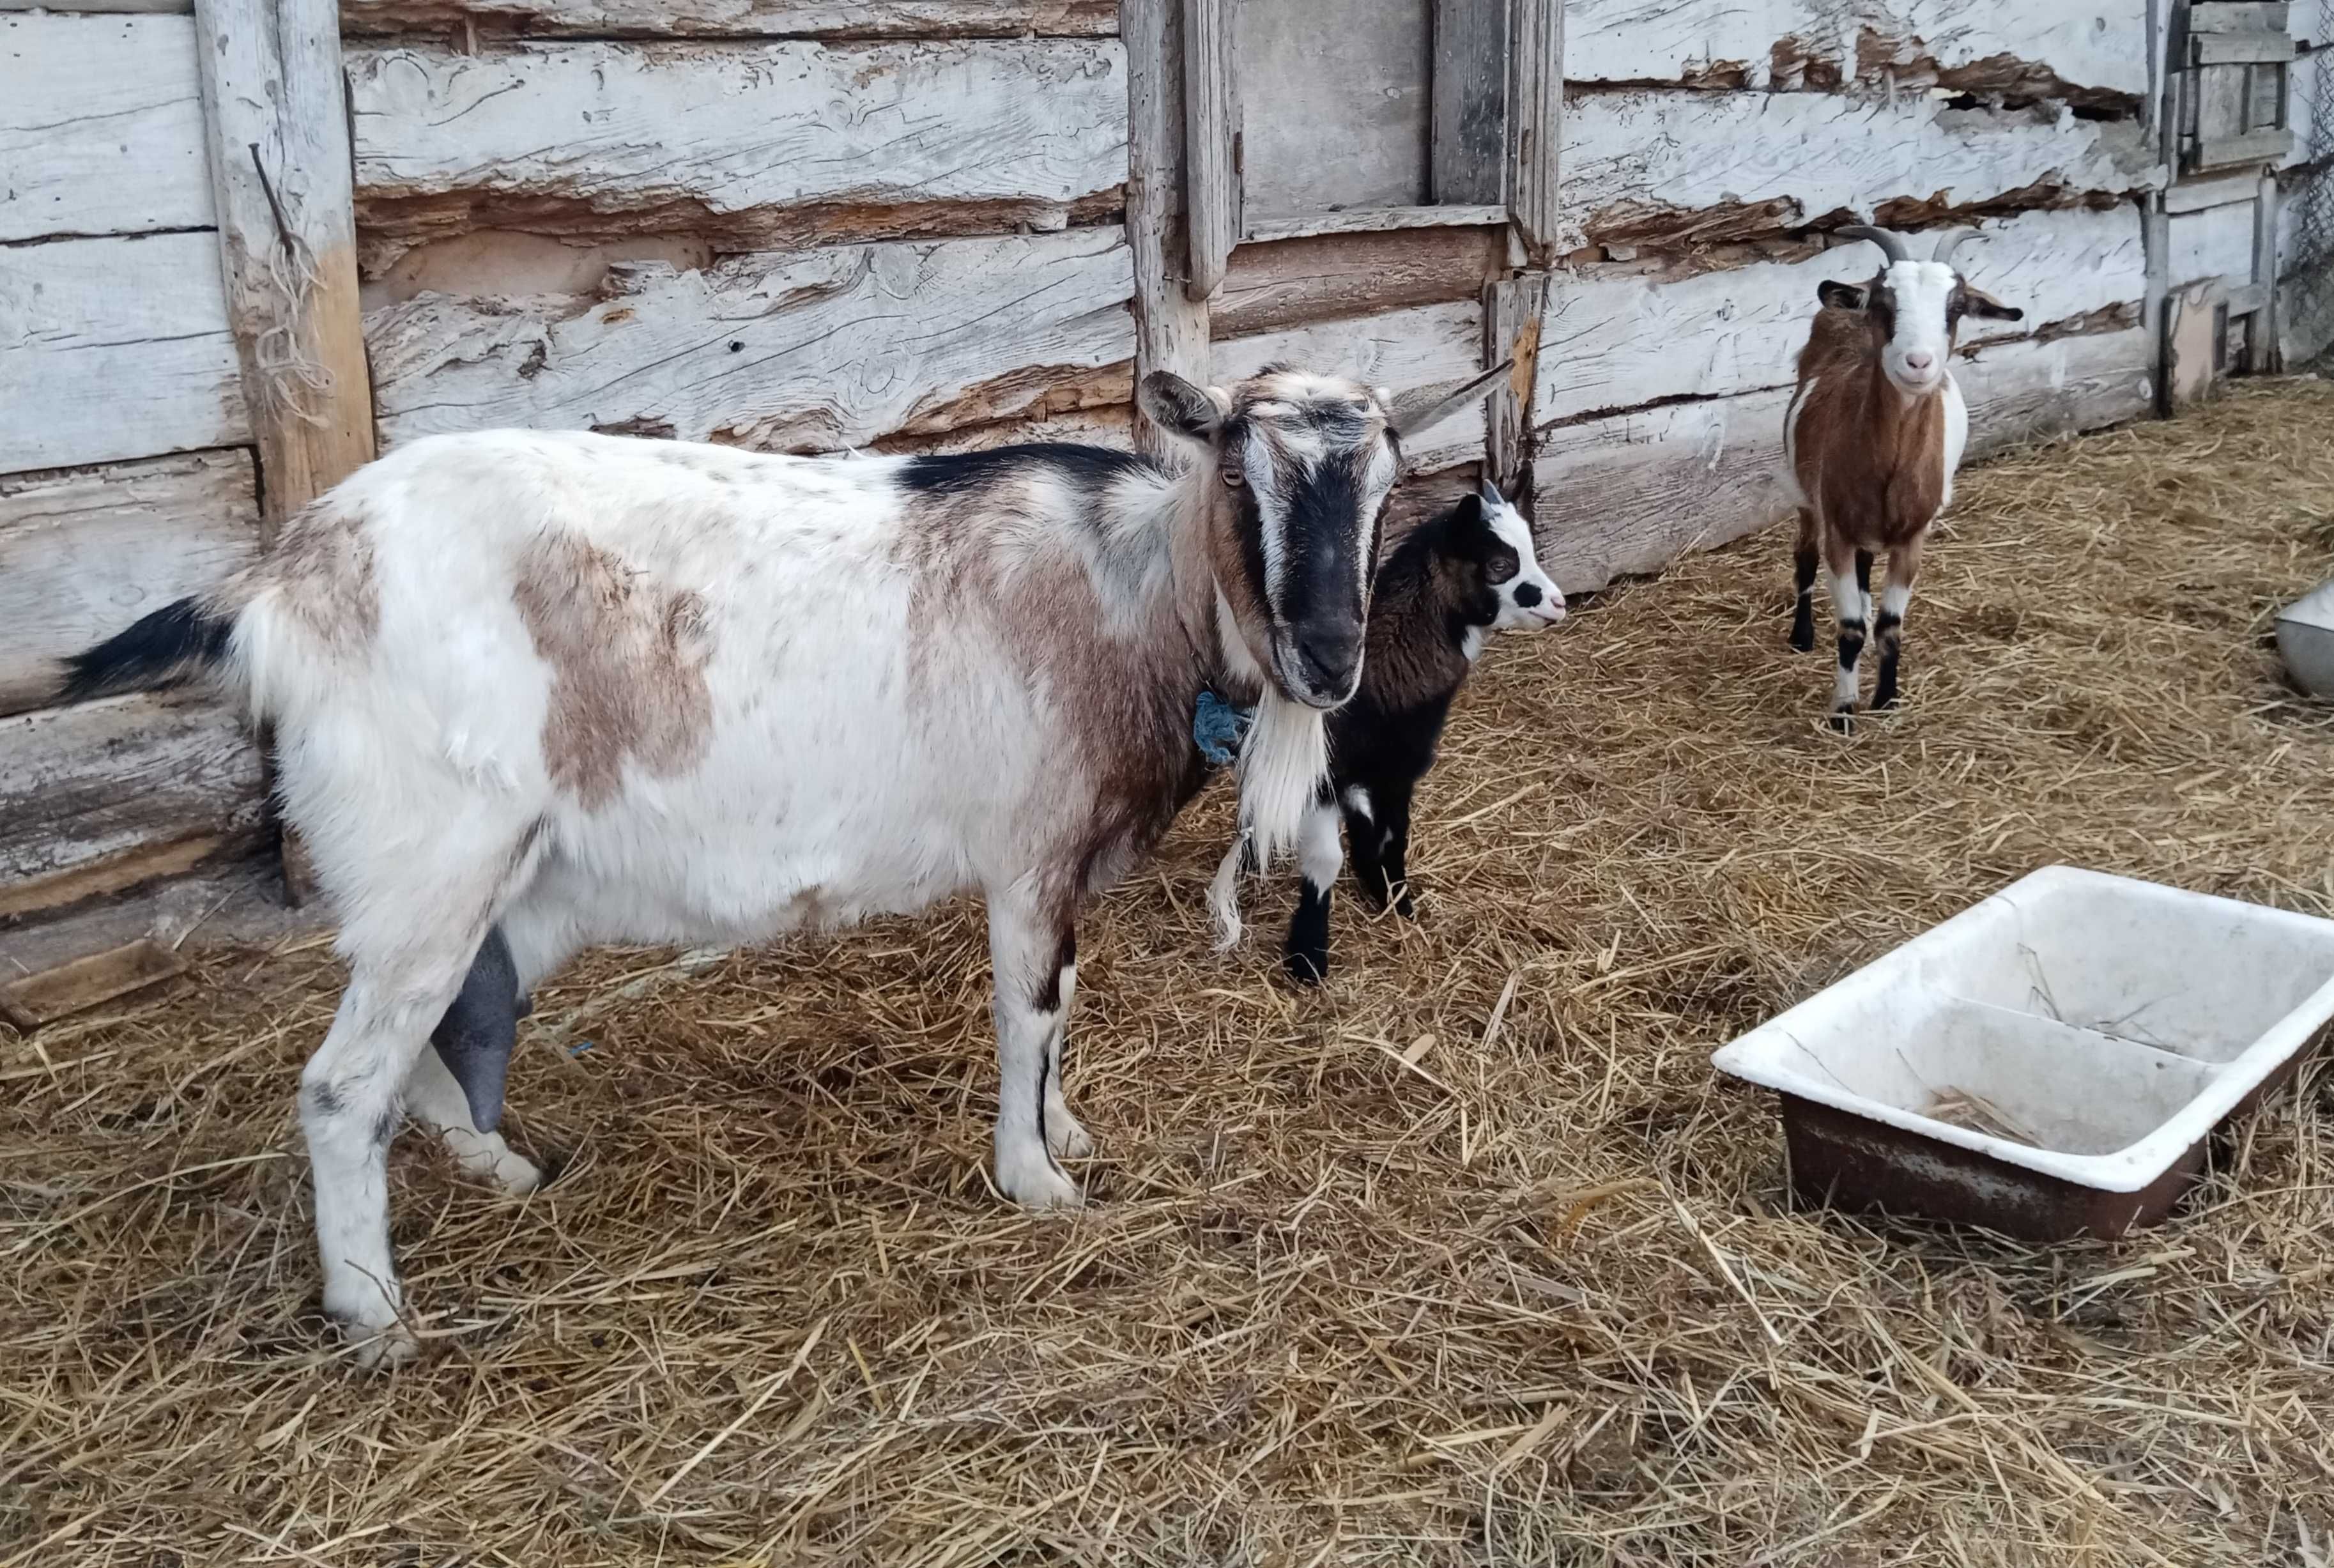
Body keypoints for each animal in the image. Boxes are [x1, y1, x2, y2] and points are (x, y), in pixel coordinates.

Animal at [1783, 225, 2025, 728]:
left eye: (1956, 307)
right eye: (1883, 302)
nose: (1917, 363)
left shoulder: (1913, 538)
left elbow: (1889, 627)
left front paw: (1886, 699)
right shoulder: (1838, 530)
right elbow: (1851, 629)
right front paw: (1843, 713)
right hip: (1806, 498)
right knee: (1805, 557)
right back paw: (1801, 636)